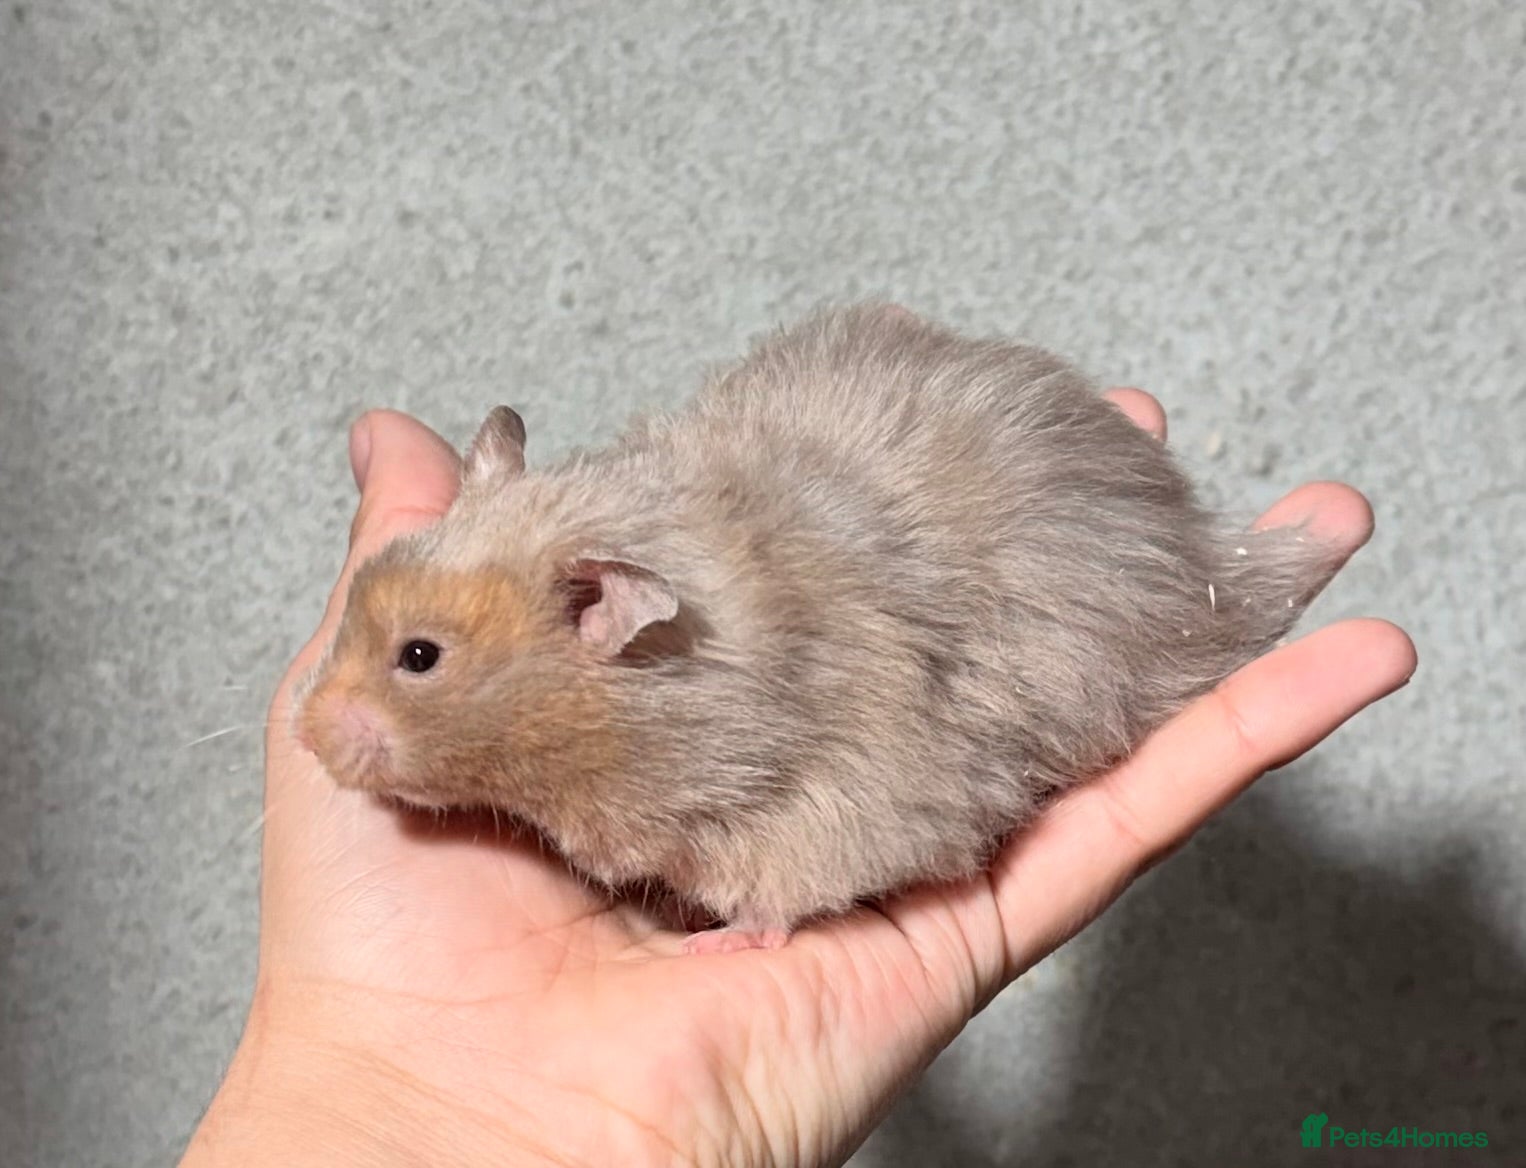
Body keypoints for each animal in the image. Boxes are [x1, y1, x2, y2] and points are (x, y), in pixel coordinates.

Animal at [296, 303, 1339, 951]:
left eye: (420, 657)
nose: (305, 736)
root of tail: (1200, 550)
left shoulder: (830, 805)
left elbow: (783, 894)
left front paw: (724, 944)